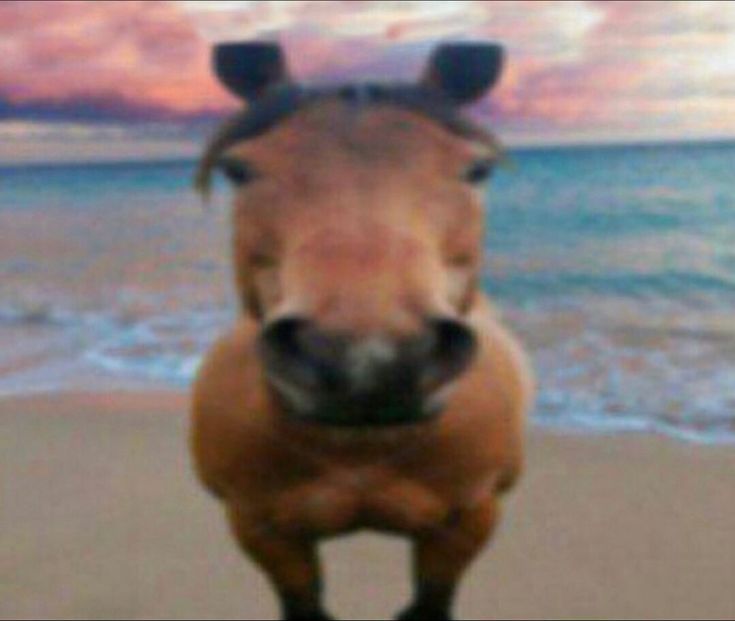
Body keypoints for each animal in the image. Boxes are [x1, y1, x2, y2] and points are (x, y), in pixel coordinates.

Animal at [190, 41, 536, 616]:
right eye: (238, 170)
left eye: (477, 169)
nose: (368, 360)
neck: (360, 448)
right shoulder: (260, 530)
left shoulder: (468, 523)